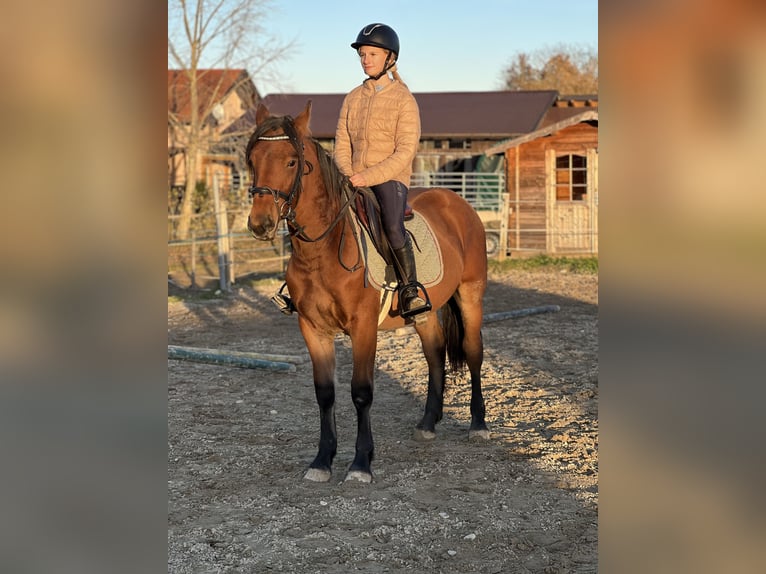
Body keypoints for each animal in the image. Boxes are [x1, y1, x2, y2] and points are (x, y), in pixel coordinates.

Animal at [245, 101, 490, 483]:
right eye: (253, 159)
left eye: (291, 161)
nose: (261, 224)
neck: (324, 250)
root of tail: (457, 202)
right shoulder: (312, 328)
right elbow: (324, 393)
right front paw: (322, 461)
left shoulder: (363, 328)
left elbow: (361, 392)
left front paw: (361, 463)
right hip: (424, 313)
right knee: (434, 354)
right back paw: (427, 424)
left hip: (470, 294)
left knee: (473, 351)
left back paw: (478, 424)